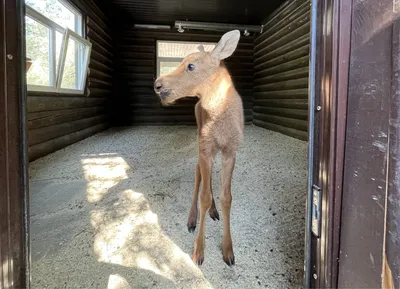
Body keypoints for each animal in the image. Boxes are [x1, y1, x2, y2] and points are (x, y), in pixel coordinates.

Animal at [154, 30, 244, 266]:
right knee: (198, 173)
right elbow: (203, 196)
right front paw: (199, 251)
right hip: (199, 135)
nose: (157, 84)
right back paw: (192, 217)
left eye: (191, 65)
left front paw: (228, 251)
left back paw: (213, 210)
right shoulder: (205, 146)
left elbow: (227, 198)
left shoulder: (231, 151)